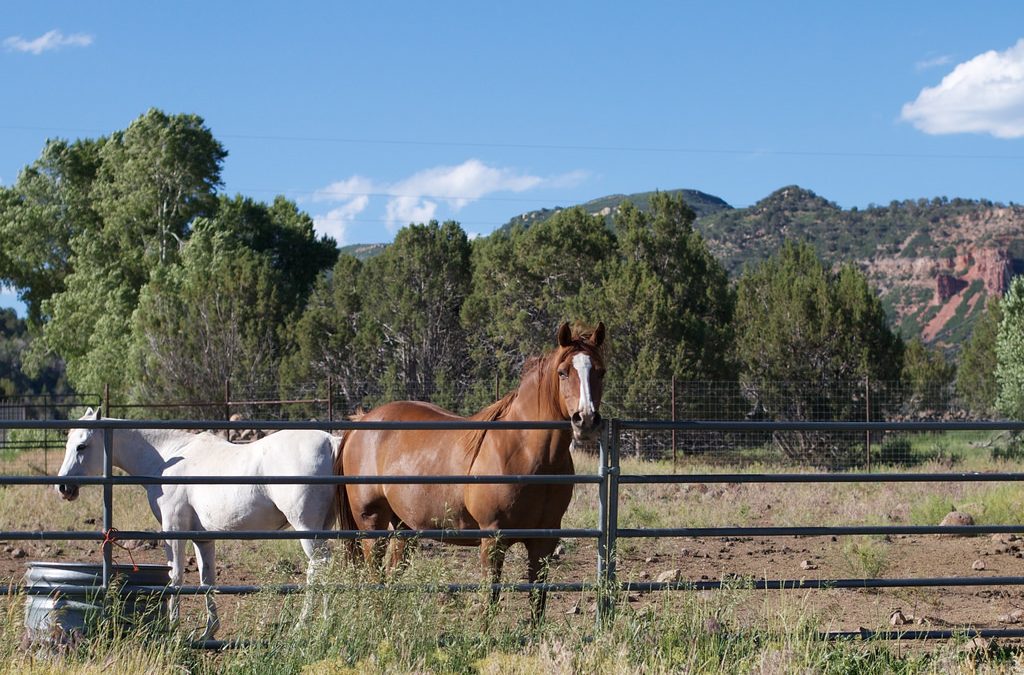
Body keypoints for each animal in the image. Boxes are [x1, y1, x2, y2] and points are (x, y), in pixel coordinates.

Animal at [57, 409, 339, 643]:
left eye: (82, 445)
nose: (63, 487)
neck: (167, 458)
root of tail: (330, 442)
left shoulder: (173, 530)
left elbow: (176, 578)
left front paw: (173, 628)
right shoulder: (202, 538)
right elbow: (207, 580)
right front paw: (209, 632)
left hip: (307, 530)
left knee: (320, 567)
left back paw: (311, 625)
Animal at [335, 321, 602, 618]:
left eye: (600, 371)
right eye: (563, 372)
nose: (585, 419)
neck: (526, 453)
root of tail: (362, 422)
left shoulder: (543, 541)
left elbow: (537, 602)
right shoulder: (493, 539)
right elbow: (490, 600)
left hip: (405, 528)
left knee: (391, 577)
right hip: (372, 523)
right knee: (375, 575)